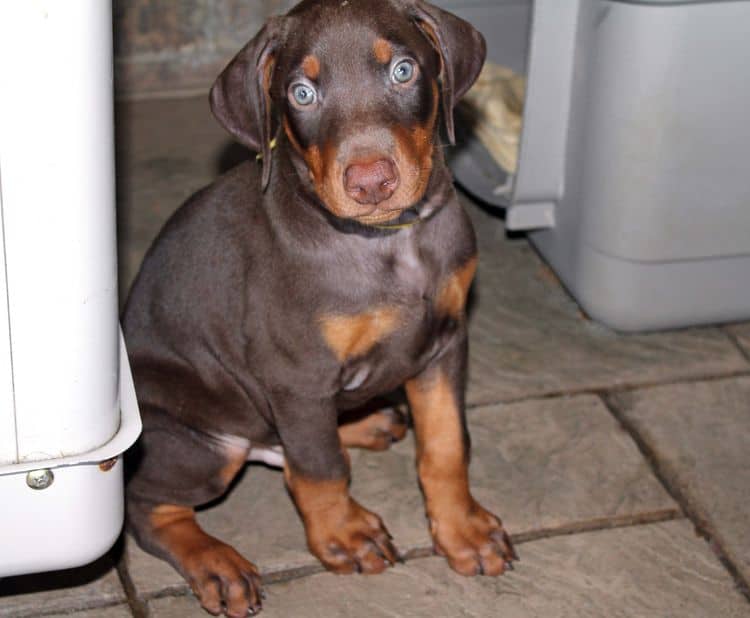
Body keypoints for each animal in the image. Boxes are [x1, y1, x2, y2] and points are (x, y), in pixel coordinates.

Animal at [125, 0, 516, 612]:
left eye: (403, 70)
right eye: (302, 93)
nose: (371, 183)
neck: (387, 243)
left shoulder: (445, 342)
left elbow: (446, 444)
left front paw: (464, 531)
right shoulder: (298, 376)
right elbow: (322, 469)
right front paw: (344, 536)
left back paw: (365, 422)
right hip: (203, 444)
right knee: (148, 506)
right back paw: (216, 565)